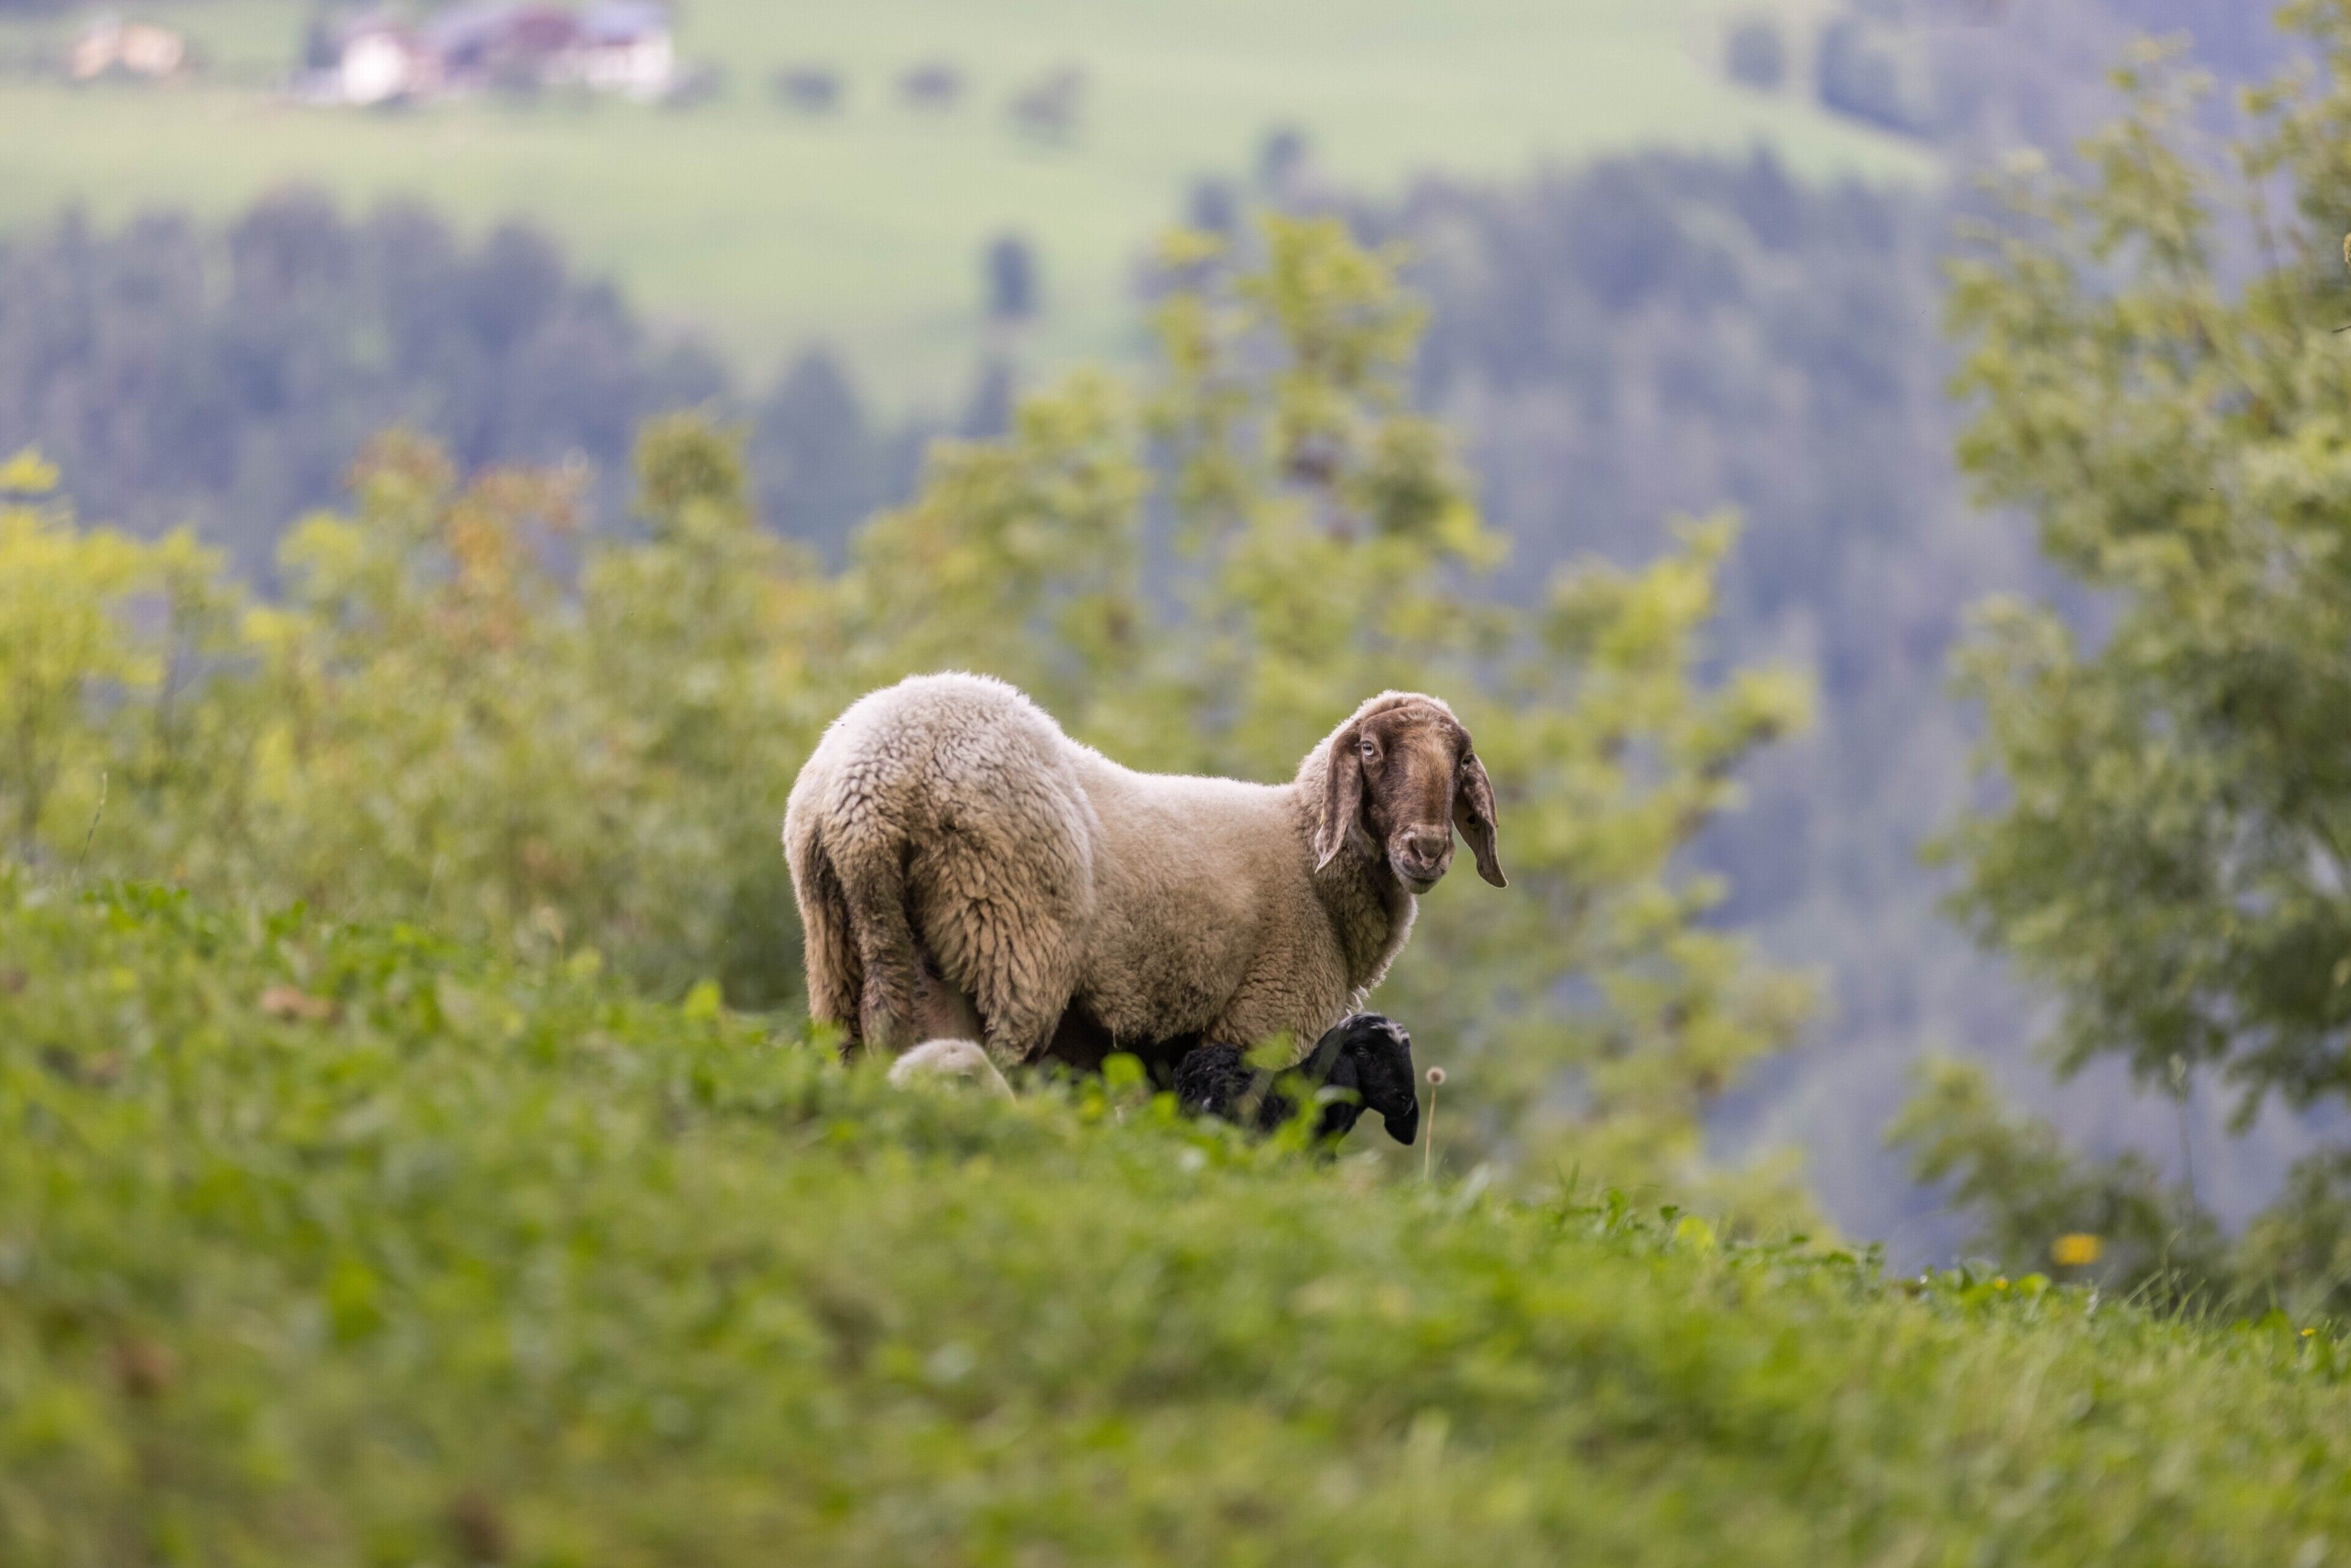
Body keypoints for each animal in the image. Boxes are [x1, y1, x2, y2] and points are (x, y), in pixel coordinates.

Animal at [784, 672, 1505, 1070]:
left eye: (1461, 761)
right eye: (1370, 750)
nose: (1427, 850)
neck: (1305, 852)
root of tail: (869, 784)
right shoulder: (1259, 1024)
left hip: (845, 946)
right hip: (1010, 942)